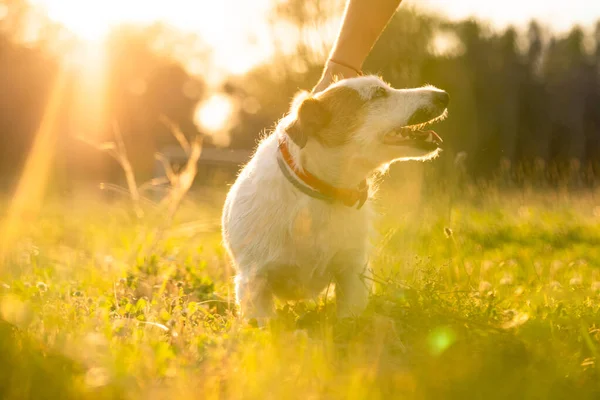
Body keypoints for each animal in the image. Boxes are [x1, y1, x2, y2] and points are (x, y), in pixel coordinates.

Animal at [223, 74, 448, 318]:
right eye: (379, 93)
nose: (443, 95)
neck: (323, 192)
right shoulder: (254, 282)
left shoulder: (353, 273)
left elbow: (350, 319)